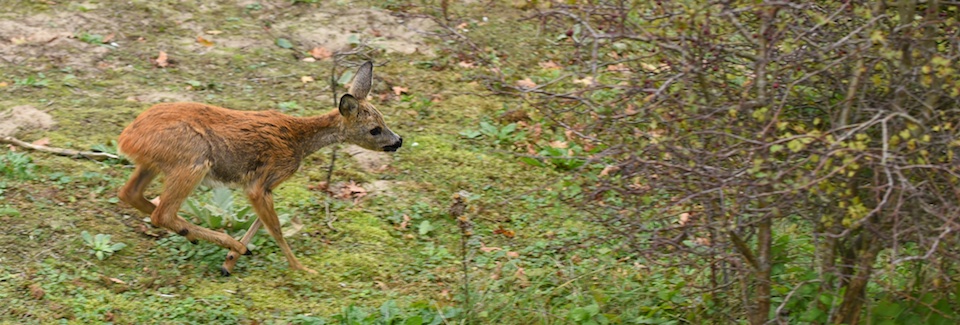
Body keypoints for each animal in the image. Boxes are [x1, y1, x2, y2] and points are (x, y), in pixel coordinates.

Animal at [117, 60, 402, 274]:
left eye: (384, 119)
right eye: (374, 129)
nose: (398, 141)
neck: (298, 142)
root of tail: (125, 139)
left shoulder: (262, 185)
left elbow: (261, 222)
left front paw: (229, 263)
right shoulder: (263, 180)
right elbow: (275, 228)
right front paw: (302, 269)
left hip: (155, 164)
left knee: (129, 193)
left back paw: (201, 238)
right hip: (192, 160)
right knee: (161, 213)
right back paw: (226, 242)